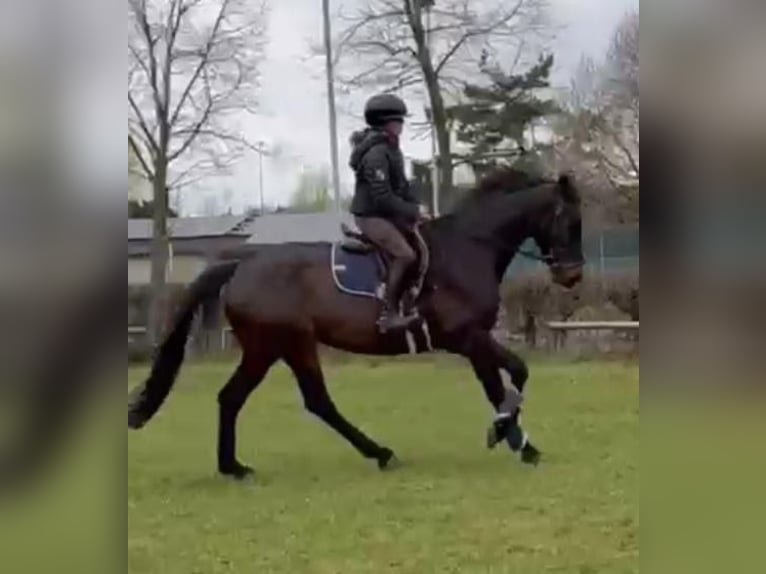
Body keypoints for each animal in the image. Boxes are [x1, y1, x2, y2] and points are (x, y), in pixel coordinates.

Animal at [128, 168, 584, 479]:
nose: (572, 276)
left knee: (247, 398)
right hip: (282, 344)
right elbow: (514, 377)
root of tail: (243, 264)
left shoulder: (476, 341)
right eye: (569, 221)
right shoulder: (468, 337)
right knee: (304, 401)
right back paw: (377, 453)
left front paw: (521, 444)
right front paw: (508, 437)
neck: (468, 249)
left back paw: (236, 467)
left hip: (275, 348)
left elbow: (499, 386)